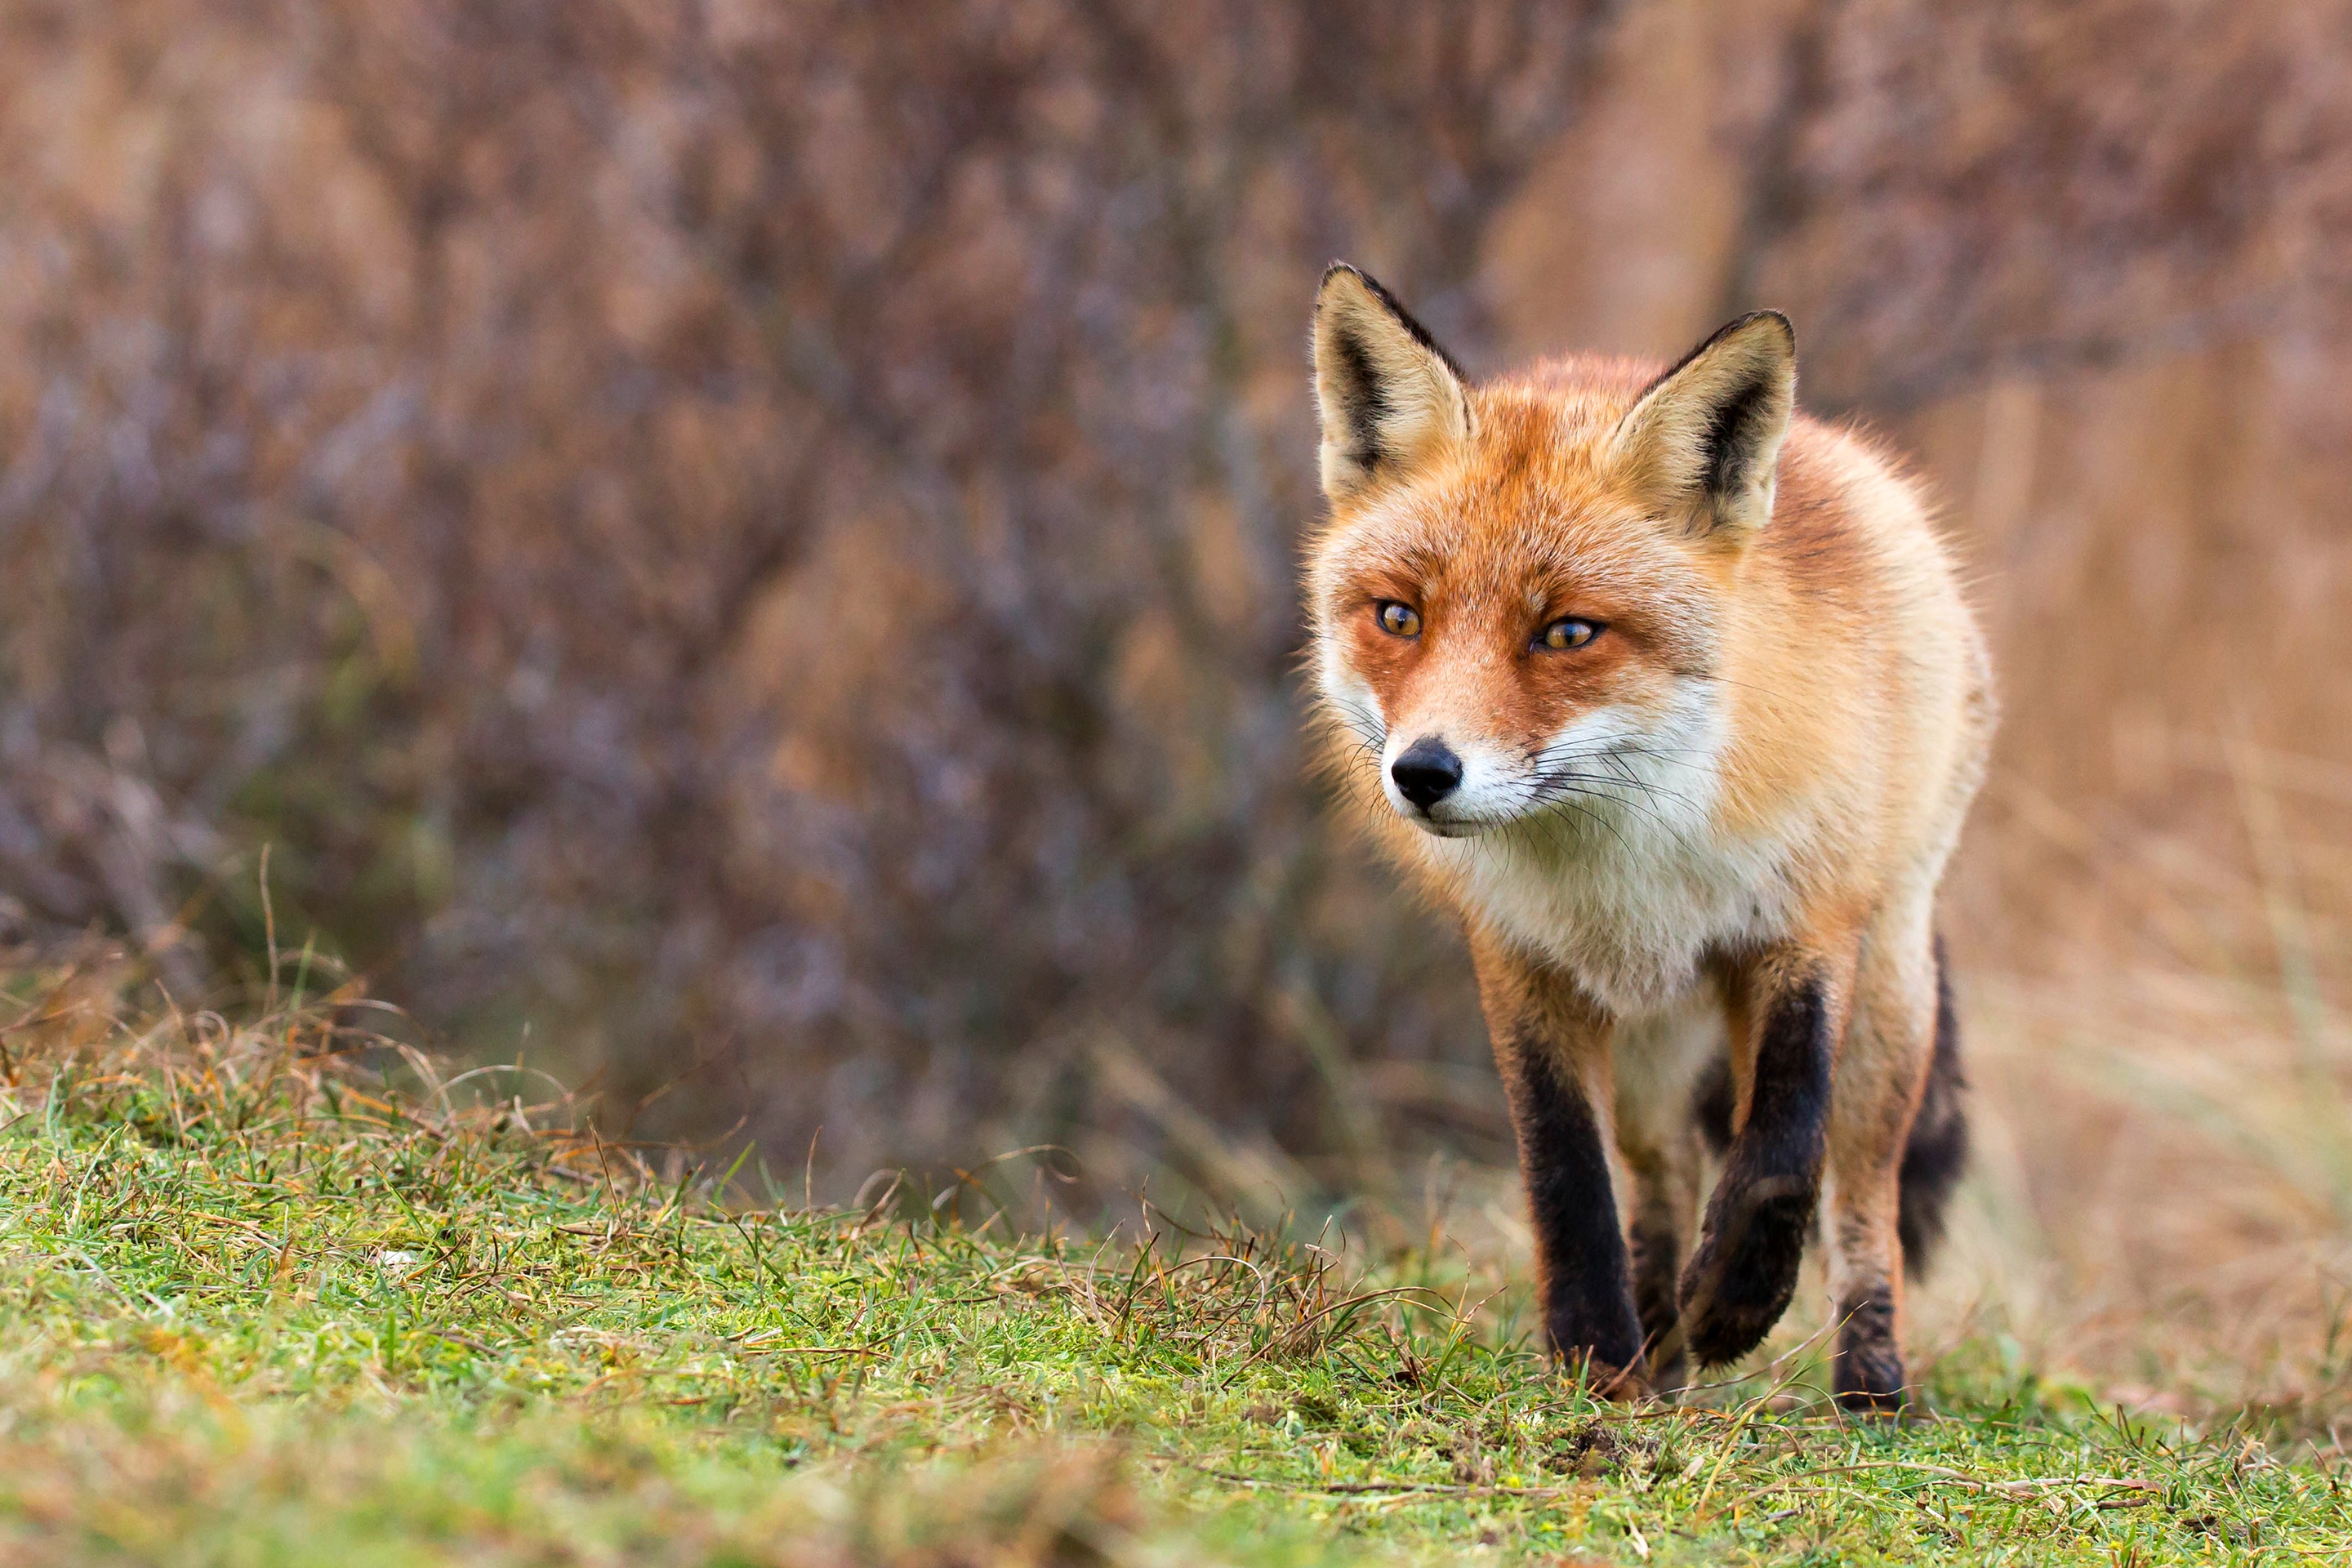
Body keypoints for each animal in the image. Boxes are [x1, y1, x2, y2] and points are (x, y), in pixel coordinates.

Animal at [1298, 263, 1994, 1401]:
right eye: (1400, 617)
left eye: (1569, 631)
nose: (1424, 773)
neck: (1624, 863)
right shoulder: (1523, 961)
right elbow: (1567, 1174)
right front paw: (1594, 1352)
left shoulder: (1804, 931)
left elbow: (1781, 1153)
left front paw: (1739, 1302)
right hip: (1654, 1041)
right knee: (1664, 1173)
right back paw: (1660, 1347)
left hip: (1890, 987)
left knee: (1862, 1195)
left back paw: (1868, 1382)